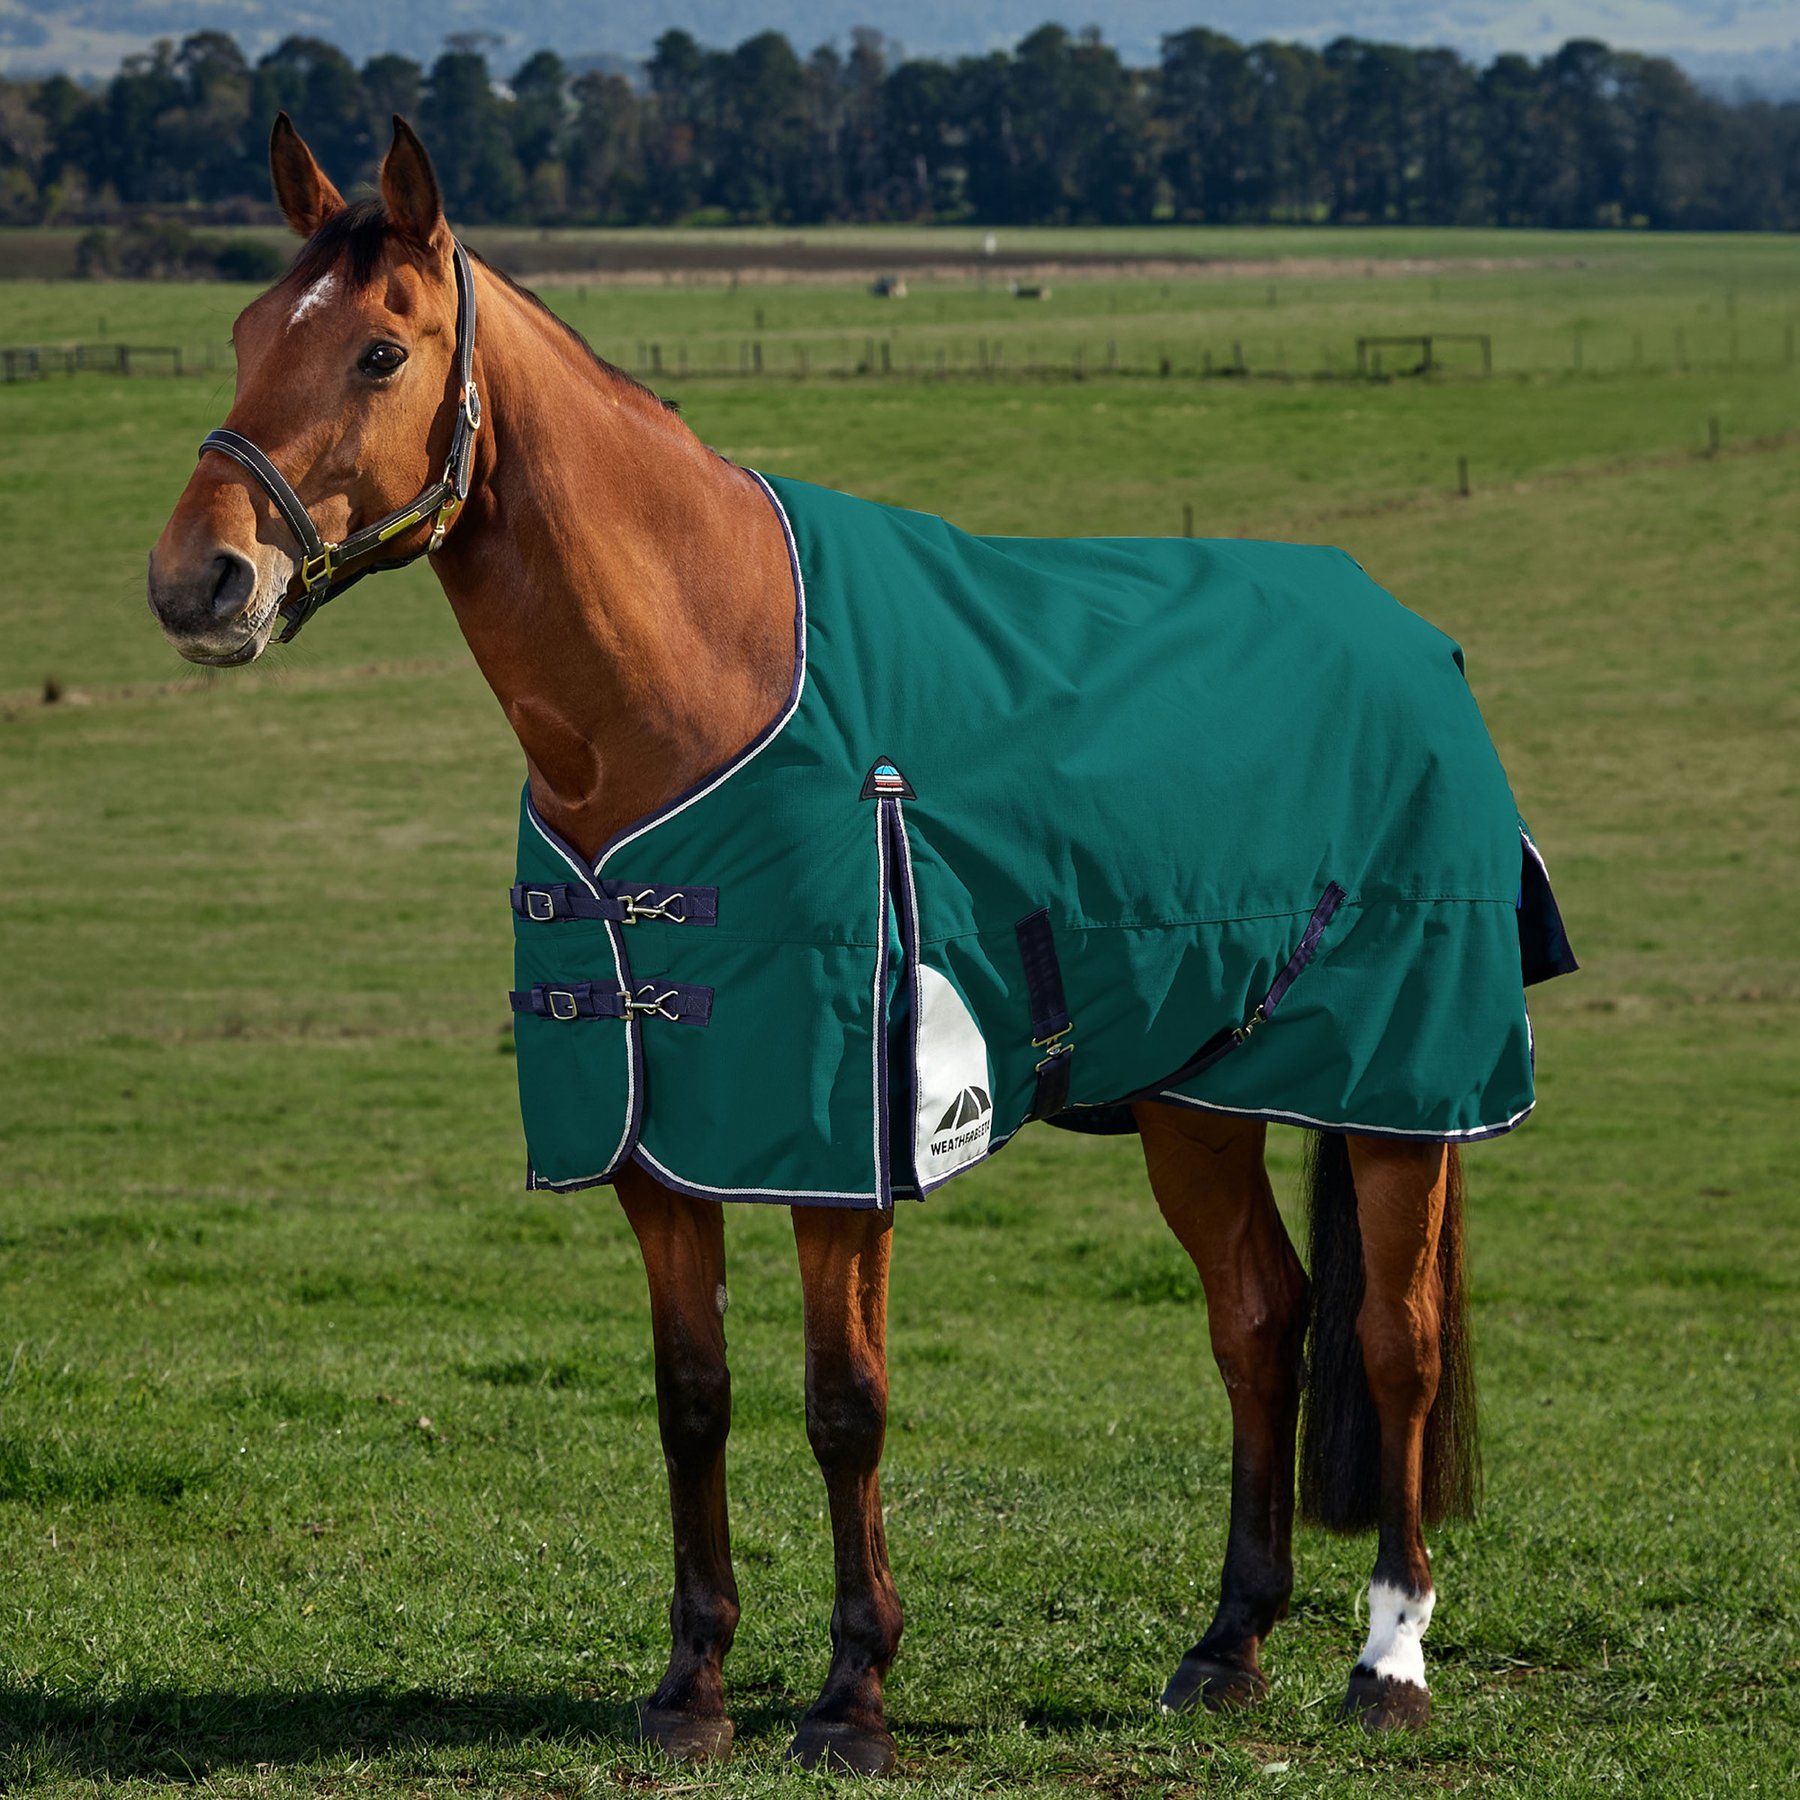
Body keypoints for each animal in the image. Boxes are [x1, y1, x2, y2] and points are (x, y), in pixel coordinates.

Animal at [147, 116, 1572, 1773]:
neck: (694, 689)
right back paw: (1227, 1644)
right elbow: (690, 1398)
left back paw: (1389, 1657)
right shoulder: (660, 1151)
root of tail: (1415, 640)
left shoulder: (841, 1152)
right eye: (248, 334)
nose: (199, 582)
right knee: (1260, 1320)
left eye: (379, 352)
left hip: (1401, 1090)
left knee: (1395, 1342)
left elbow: (846, 1405)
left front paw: (851, 1695)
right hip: (1198, 1097)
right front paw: (692, 1686)